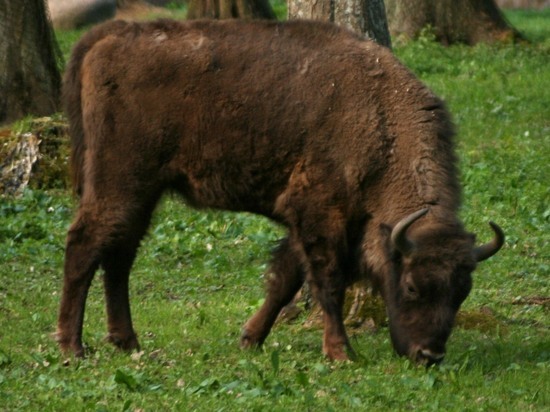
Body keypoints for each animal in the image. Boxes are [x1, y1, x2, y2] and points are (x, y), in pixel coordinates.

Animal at [56, 18, 504, 364]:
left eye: (461, 292)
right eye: (411, 286)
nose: (429, 355)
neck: (381, 120)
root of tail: (110, 34)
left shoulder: (305, 220)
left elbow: (285, 278)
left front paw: (250, 338)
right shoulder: (320, 214)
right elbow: (327, 282)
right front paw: (341, 353)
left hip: (144, 192)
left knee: (119, 256)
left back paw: (126, 341)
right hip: (119, 182)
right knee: (85, 244)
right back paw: (72, 347)